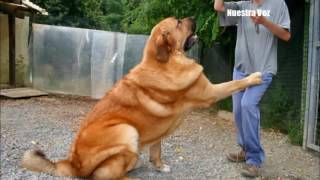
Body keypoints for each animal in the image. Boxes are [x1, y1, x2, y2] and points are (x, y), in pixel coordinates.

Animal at [21, 17, 262, 180]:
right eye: (178, 23)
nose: (193, 18)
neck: (165, 62)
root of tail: (71, 164)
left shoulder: (158, 131)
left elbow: (157, 150)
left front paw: (159, 166)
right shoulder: (210, 91)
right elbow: (233, 84)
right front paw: (254, 77)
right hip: (127, 130)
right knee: (103, 176)